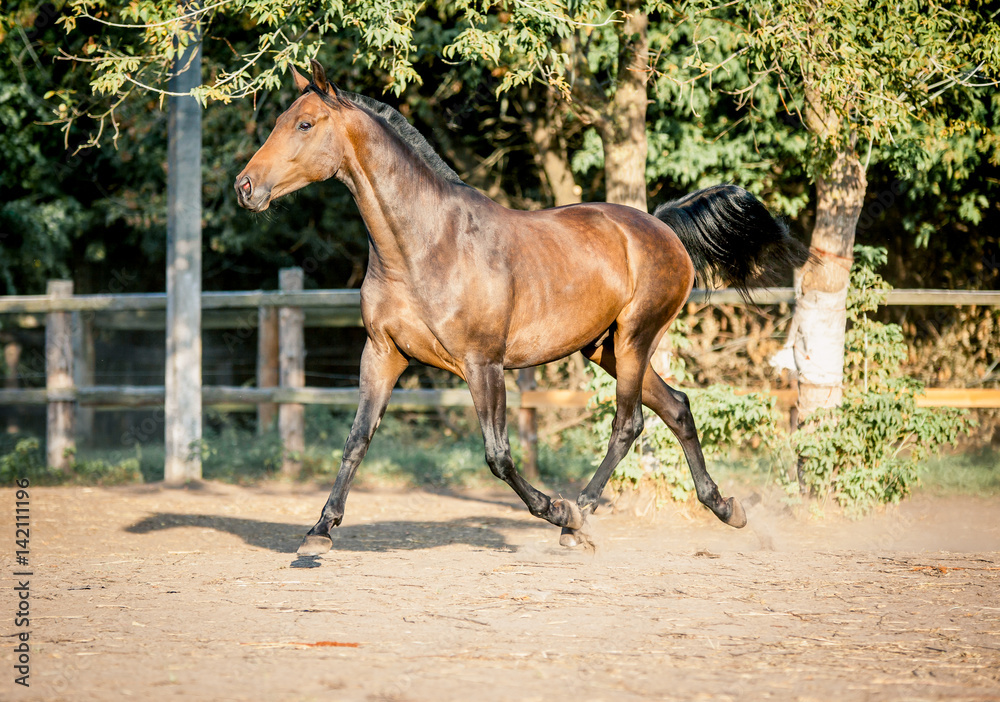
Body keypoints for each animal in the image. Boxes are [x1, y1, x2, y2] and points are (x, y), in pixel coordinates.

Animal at [236, 60, 808, 556]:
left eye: (305, 123)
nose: (246, 187)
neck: (425, 246)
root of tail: (660, 225)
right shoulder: (382, 354)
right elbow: (357, 439)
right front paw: (319, 532)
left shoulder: (483, 364)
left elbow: (498, 454)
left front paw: (555, 509)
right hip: (605, 349)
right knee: (678, 408)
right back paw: (726, 507)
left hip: (634, 339)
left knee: (629, 423)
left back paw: (579, 516)